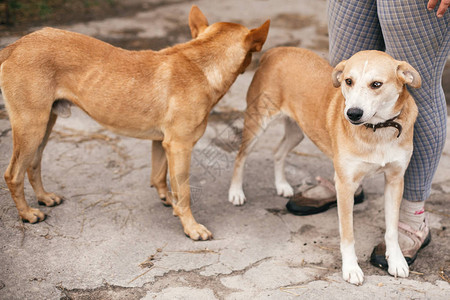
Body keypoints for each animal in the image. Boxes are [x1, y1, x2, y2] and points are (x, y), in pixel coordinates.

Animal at [0, 5, 268, 240]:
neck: (200, 64)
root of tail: (16, 45)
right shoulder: (180, 147)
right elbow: (184, 192)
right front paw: (191, 227)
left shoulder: (162, 143)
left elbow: (160, 177)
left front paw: (170, 203)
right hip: (31, 128)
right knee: (13, 174)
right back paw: (27, 214)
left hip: (44, 125)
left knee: (33, 165)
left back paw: (44, 197)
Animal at [230, 47, 420, 284]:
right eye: (348, 81)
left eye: (376, 84)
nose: (352, 113)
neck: (377, 130)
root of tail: (277, 50)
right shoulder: (345, 185)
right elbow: (348, 234)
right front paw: (351, 268)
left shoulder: (395, 180)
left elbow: (392, 229)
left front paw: (396, 261)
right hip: (257, 123)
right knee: (240, 155)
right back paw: (236, 192)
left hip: (298, 130)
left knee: (277, 152)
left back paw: (282, 185)